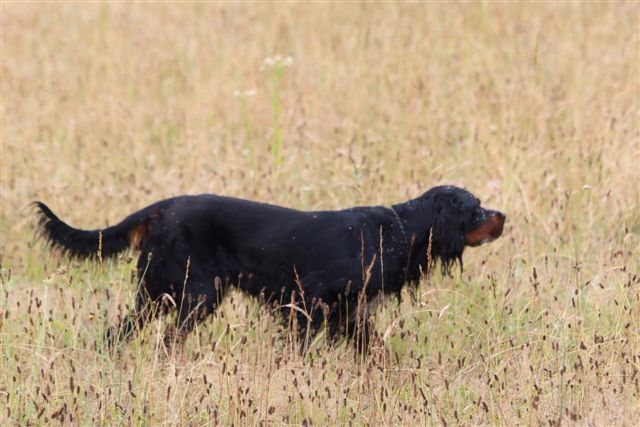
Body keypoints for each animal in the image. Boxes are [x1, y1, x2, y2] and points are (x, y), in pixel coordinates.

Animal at [35, 185, 504, 352]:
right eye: (477, 207)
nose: (504, 216)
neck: (399, 231)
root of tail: (160, 208)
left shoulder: (348, 314)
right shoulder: (309, 304)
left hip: (162, 291)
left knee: (122, 331)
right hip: (195, 292)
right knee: (166, 339)